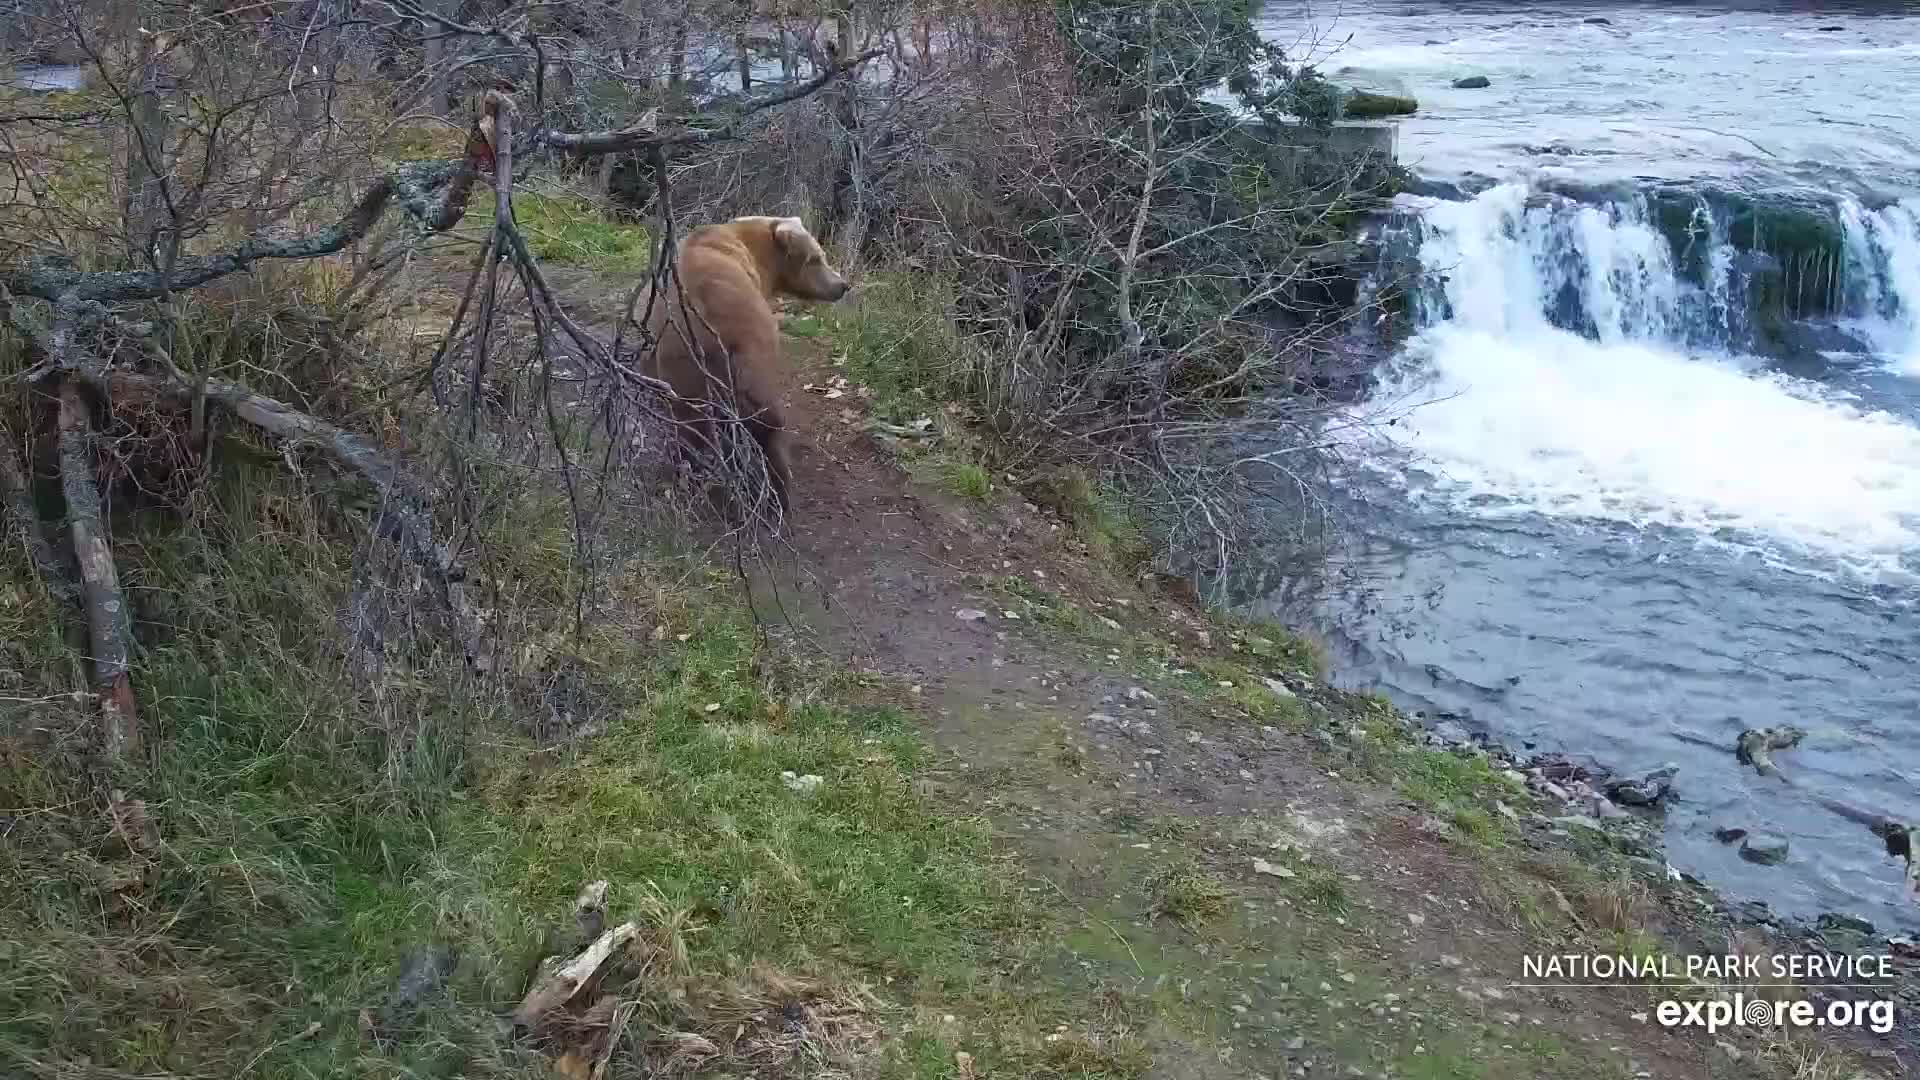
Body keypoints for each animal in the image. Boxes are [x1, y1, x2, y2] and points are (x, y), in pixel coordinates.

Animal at [633, 215, 850, 519]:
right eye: (816, 258)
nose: (843, 285)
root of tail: (717, 338)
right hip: (748, 356)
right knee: (769, 427)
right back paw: (779, 496)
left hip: (683, 374)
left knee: (688, 432)